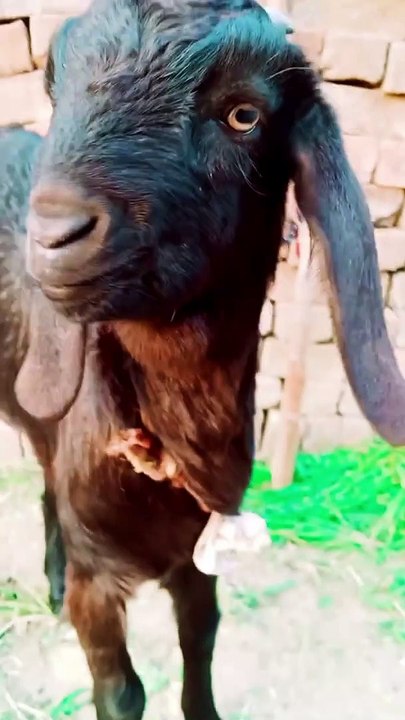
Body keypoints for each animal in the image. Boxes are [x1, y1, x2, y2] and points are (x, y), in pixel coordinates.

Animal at [2, 2, 405, 719]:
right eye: (54, 92)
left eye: (244, 115)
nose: (52, 233)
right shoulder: (97, 587)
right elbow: (121, 691)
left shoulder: (197, 562)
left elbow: (201, 651)